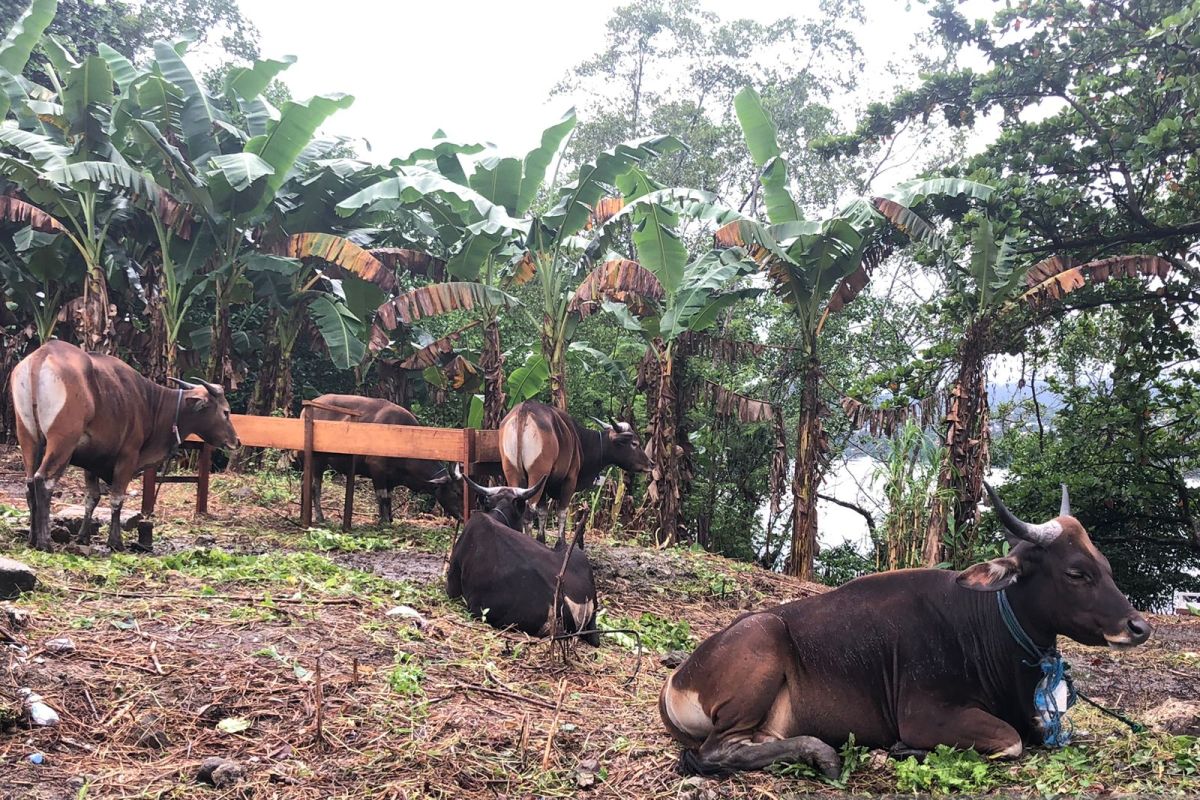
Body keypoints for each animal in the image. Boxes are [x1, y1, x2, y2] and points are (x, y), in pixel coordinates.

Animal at [8, 340, 238, 554]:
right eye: (226, 412)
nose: (236, 440)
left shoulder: (91, 461)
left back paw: (32, 538)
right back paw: (45, 542)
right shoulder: (128, 456)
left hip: (28, 437)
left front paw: (83, 537)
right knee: (43, 481)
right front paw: (115, 542)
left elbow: (92, 498)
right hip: (63, 441)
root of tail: (43, 354)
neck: (150, 403)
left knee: (29, 483)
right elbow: (117, 498)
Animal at [496, 402, 652, 546]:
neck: (580, 441)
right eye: (634, 443)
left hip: (513, 473)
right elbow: (562, 511)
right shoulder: (570, 479)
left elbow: (543, 512)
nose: (650, 463)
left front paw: (541, 540)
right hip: (537, 474)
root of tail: (524, 410)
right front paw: (560, 544)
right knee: (529, 512)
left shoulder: (544, 484)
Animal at [662, 484, 1156, 777]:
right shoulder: (926, 716)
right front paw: (899, 750)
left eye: (1106, 567)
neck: (986, 631)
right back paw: (824, 753)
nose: (1138, 626)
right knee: (715, 751)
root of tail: (677, 679)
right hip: (762, 642)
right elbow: (1011, 741)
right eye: (1076, 572)